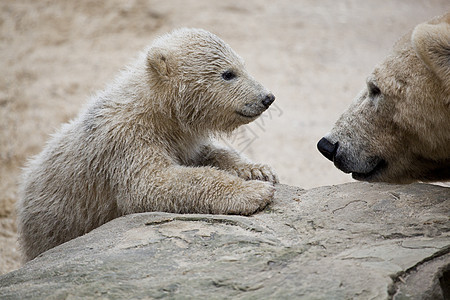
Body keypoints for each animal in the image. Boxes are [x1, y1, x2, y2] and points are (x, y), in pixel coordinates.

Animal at [17, 29, 278, 262]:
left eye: (243, 65)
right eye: (228, 74)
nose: (267, 97)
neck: (154, 109)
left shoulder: (181, 138)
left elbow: (209, 153)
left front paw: (258, 170)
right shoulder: (126, 142)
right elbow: (151, 184)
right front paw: (253, 192)